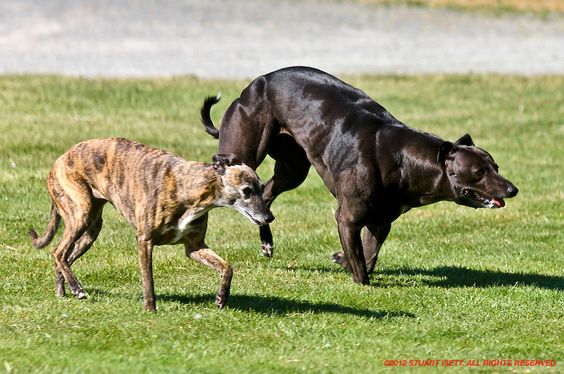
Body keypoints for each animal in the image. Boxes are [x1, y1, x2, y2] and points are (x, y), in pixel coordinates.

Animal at [200, 66, 516, 284]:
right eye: (478, 171)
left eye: (496, 166)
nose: (513, 190)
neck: (403, 159)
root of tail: (254, 84)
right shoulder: (348, 217)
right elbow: (361, 265)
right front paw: (359, 280)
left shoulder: (381, 220)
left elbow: (369, 253)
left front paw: (342, 259)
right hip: (246, 148)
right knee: (225, 163)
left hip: (293, 169)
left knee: (265, 194)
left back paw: (267, 241)